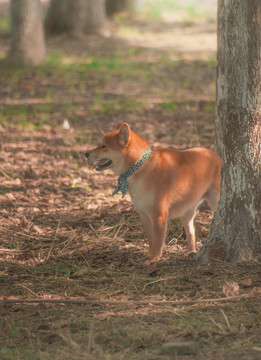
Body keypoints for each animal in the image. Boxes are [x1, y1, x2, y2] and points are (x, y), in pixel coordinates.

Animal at [85, 122, 219, 262]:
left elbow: (158, 240)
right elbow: (151, 239)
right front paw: (150, 255)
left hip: (215, 201)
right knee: (191, 232)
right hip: (187, 212)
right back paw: (191, 252)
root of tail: (216, 156)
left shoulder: (159, 215)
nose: (86, 154)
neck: (139, 167)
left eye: (103, 146)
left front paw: (155, 259)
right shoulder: (144, 215)